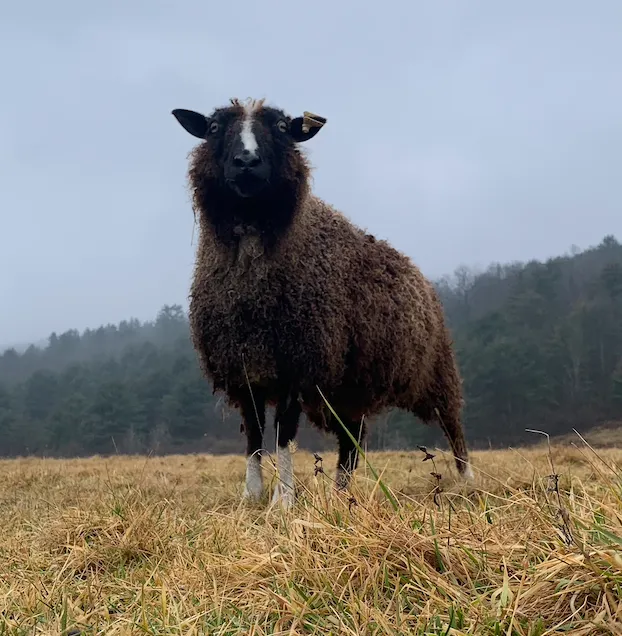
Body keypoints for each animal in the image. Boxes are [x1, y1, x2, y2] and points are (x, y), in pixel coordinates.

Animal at [171, 97, 472, 504]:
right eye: (215, 129)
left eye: (283, 128)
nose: (247, 161)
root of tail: (421, 276)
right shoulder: (243, 367)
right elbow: (254, 434)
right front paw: (252, 495)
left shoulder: (298, 364)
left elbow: (283, 434)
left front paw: (284, 499)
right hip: (350, 387)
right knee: (352, 440)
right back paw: (340, 492)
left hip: (437, 370)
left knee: (453, 425)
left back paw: (468, 480)